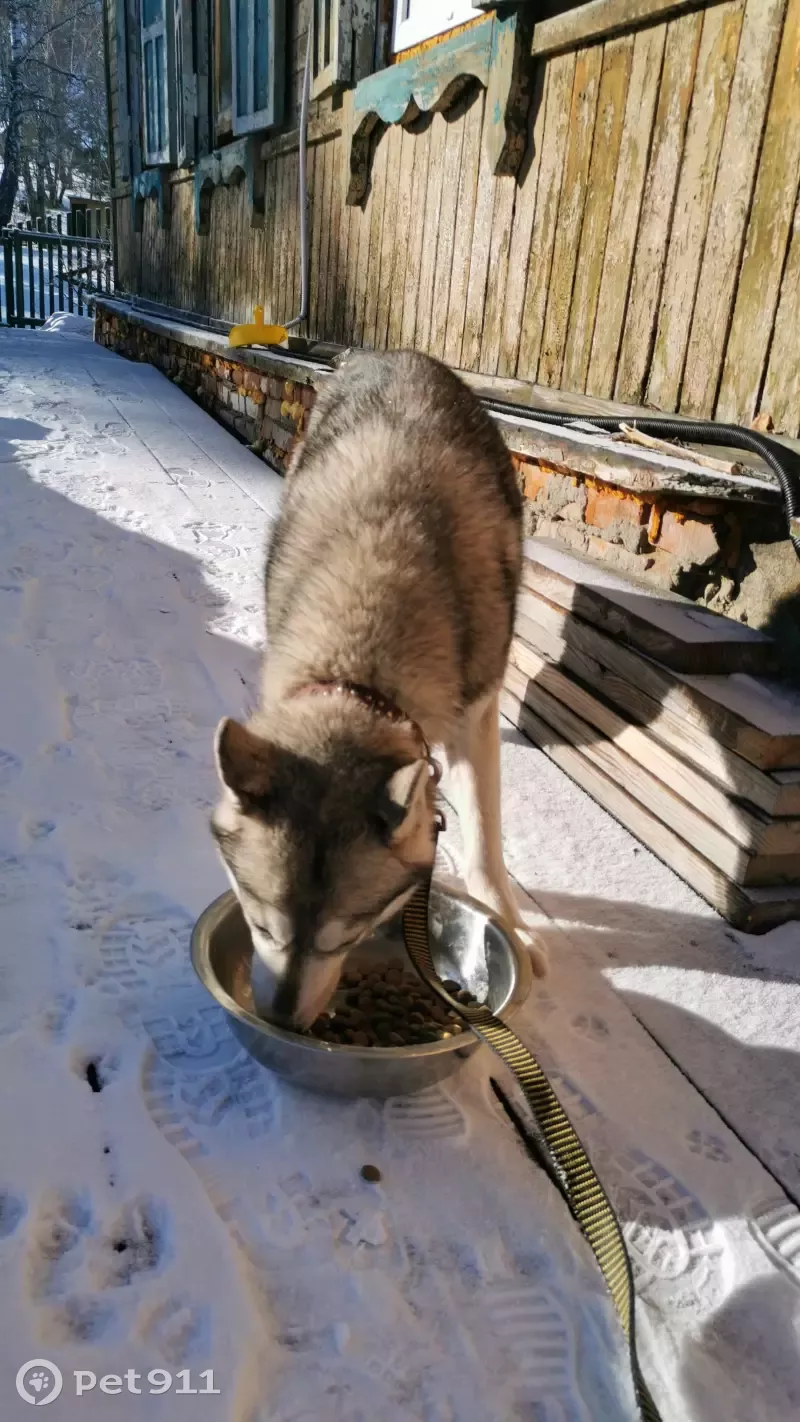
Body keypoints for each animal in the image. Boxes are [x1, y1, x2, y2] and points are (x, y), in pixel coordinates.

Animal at [213, 349, 548, 1029]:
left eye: (346, 935)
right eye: (260, 922)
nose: (281, 1023)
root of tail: (396, 355)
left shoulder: (474, 717)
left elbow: (483, 842)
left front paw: (513, 927)